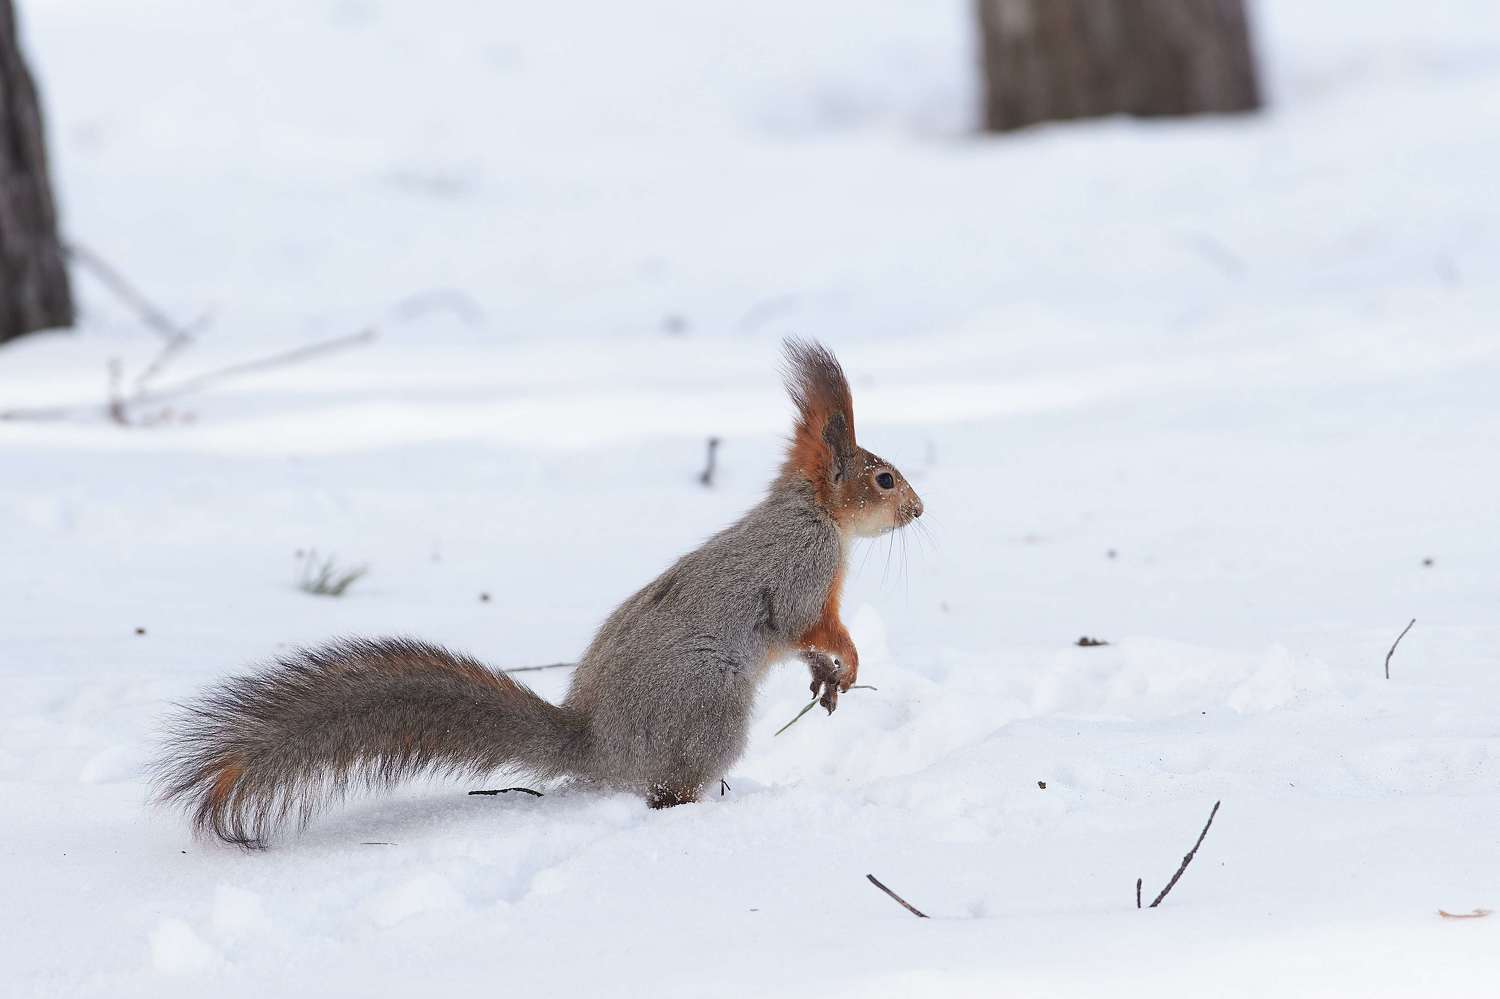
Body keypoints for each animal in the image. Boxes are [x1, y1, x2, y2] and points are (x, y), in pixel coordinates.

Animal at [154, 338, 924, 847]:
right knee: (668, 792)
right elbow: (809, 626)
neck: (812, 512)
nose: (919, 510)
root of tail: (599, 747)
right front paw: (846, 664)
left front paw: (828, 679)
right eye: (883, 478)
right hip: (709, 706)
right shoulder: (801, 569)